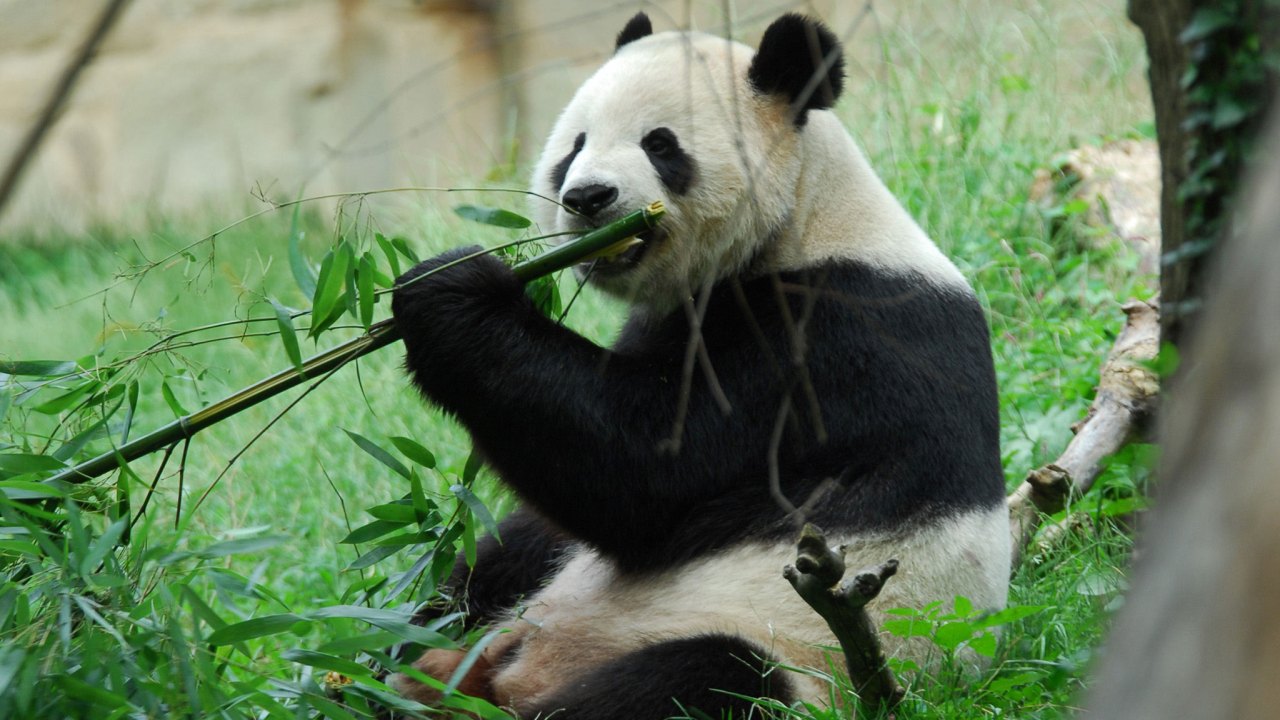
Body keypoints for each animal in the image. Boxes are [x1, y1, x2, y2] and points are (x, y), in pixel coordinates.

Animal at [388, 11, 1010, 719]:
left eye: (660, 144)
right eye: (575, 145)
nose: (588, 197)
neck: (807, 218)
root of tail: (511, 675)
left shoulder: (838, 343)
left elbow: (642, 472)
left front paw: (449, 291)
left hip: (798, 660)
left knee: (700, 678)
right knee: (500, 557)